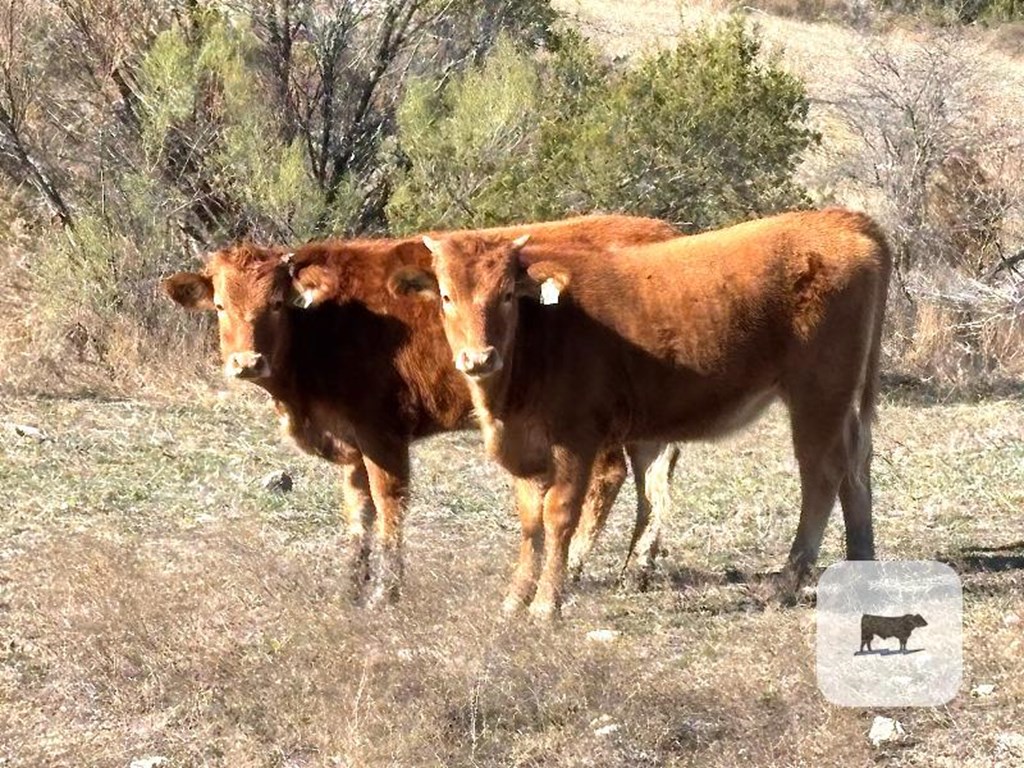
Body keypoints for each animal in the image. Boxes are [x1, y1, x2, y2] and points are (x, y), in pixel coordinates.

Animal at [161, 214, 679, 606]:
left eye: (274, 304)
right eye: (221, 305)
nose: (246, 362)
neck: (328, 322)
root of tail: (660, 231)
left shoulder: (381, 432)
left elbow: (389, 503)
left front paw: (385, 592)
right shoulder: (350, 442)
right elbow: (358, 511)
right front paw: (350, 587)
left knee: (610, 477)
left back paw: (577, 568)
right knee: (652, 478)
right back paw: (636, 570)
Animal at [395, 205, 892, 618]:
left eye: (505, 295)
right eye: (446, 297)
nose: (478, 359)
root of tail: (840, 219)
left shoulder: (575, 440)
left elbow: (559, 516)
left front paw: (546, 605)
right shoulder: (526, 449)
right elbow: (530, 523)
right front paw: (516, 598)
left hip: (818, 393)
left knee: (822, 473)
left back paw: (788, 580)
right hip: (845, 400)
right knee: (856, 468)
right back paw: (860, 564)